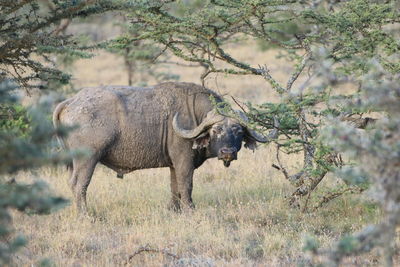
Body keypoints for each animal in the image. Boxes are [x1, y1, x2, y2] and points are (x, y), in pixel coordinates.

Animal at [53, 82, 270, 215]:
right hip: (87, 159)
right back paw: (85, 214)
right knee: (79, 184)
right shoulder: (183, 161)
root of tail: (71, 101)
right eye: (216, 130)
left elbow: (175, 188)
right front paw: (190, 210)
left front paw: (174, 210)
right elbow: (186, 185)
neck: (195, 115)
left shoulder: (174, 164)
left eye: (238, 132)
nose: (227, 153)